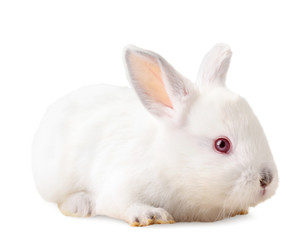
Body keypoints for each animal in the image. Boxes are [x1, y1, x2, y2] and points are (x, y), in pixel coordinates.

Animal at [31, 44, 280, 226]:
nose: (266, 180)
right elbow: (118, 204)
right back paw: (81, 204)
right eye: (221, 144)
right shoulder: (120, 184)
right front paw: (151, 215)